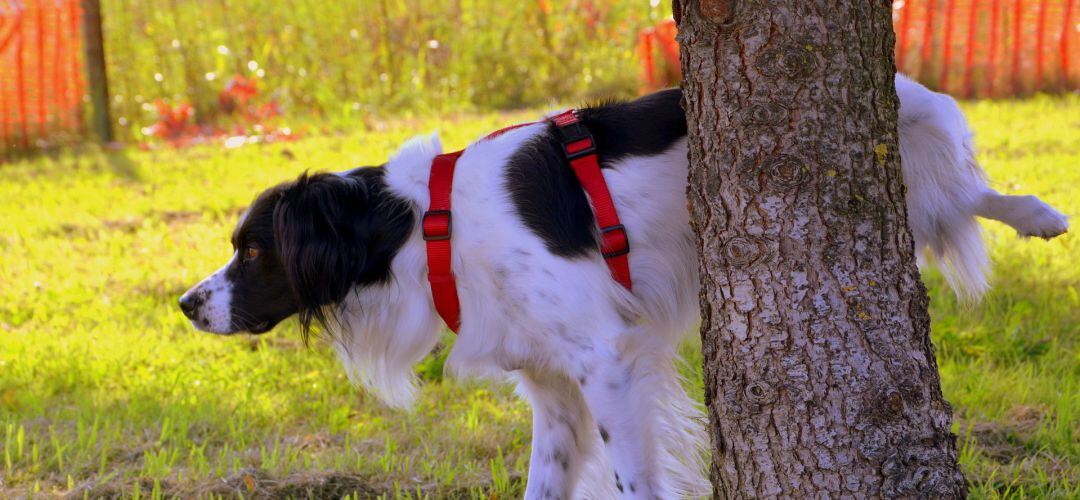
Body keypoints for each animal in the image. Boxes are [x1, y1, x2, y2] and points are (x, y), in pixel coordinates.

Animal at [181, 75, 1067, 500]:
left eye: (253, 251)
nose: (186, 304)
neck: (427, 226)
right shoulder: (554, 390)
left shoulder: (606, 361)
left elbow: (636, 480)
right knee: (960, 197)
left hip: (918, 153)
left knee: (968, 188)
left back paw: (1039, 212)